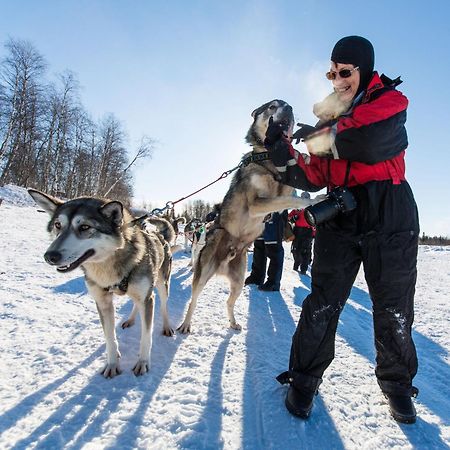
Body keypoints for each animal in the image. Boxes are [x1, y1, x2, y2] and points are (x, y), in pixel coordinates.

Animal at [28, 190, 176, 376]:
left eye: (85, 227)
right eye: (57, 225)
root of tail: (160, 236)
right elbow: (109, 337)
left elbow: (146, 336)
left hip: (161, 286)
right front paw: (112, 364)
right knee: (135, 304)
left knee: (163, 306)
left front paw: (142, 362)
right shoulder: (102, 302)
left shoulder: (146, 298)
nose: (50, 256)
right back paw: (130, 320)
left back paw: (166, 326)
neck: (108, 266)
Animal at [178, 100, 318, 332]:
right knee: (193, 301)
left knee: (228, 302)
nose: (289, 107)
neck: (269, 160)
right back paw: (185, 324)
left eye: (287, 105)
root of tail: (223, 264)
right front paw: (314, 200)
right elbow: (290, 200)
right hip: (203, 275)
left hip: (238, 281)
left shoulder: (284, 189)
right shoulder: (256, 203)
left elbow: (289, 190)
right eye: (273, 106)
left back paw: (233, 323)